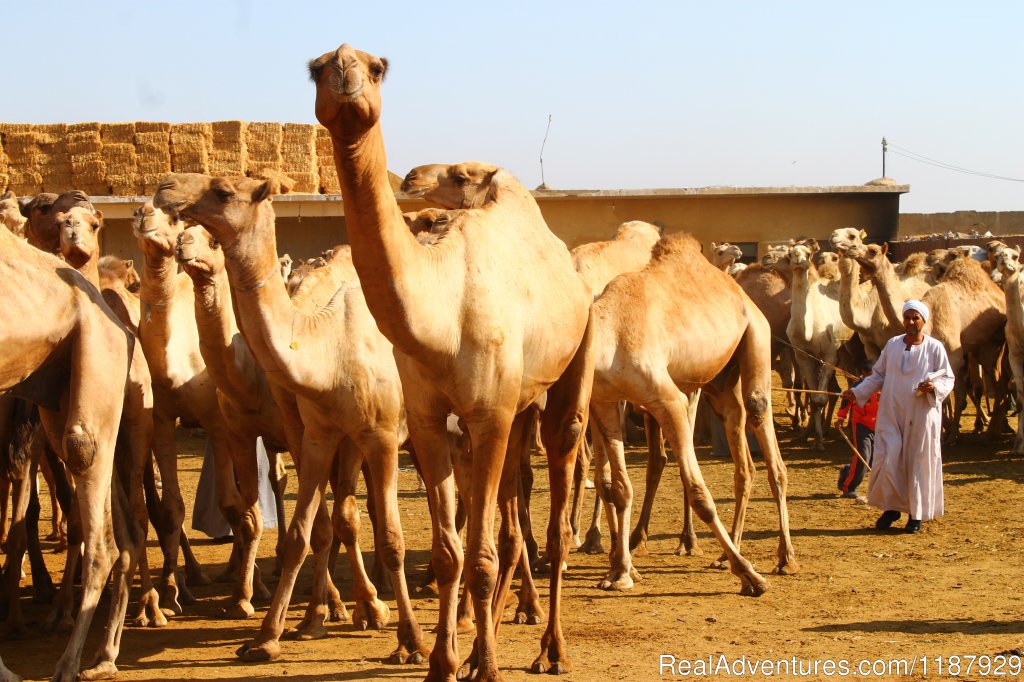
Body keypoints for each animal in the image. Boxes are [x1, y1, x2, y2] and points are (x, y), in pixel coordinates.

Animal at [149, 175, 425, 663]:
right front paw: (272, 634)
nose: (166, 187)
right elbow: (305, 531)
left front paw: (408, 640)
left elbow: (391, 538)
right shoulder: (318, 436)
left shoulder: (379, 436)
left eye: (223, 190)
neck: (329, 349)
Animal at [307, 42, 593, 675]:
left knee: (556, 508)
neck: (442, 312)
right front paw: (442, 661)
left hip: (569, 373)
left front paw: (483, 666)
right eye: (315, 68)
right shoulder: (429, 417)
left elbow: (480, 555)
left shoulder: (487, 414)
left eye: (377, 67)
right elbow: (447, 553)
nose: (345, 76)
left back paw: (552, 649)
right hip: (518, 408)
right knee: (513, 514)